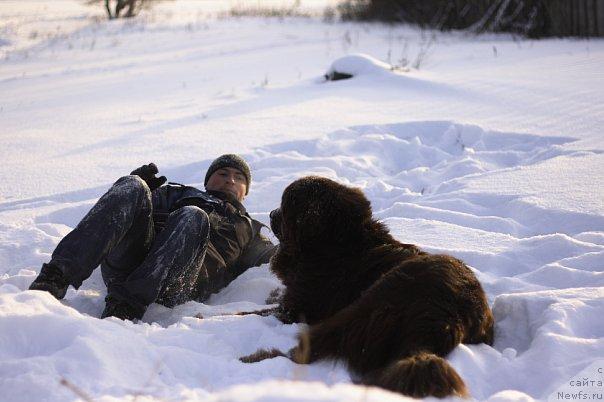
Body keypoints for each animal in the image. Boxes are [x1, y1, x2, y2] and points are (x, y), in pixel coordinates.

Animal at [238, 177, 494, 398]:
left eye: (285, 206)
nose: (271, 213)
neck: (335, 246)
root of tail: (449, 318)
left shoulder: (296, 309)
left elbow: (247, 313)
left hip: (365, 306)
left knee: (304, 351)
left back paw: (254, 359)